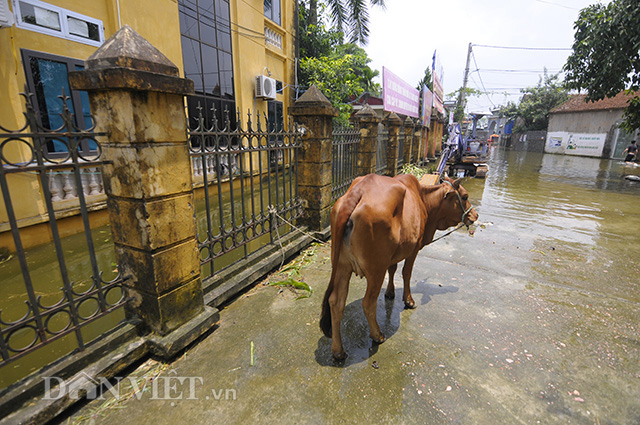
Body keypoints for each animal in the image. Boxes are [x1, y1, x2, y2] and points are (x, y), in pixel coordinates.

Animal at [320, 171, 476, 358]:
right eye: (465, 196)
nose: (475, 216)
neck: (423, 199)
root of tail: (356, 192)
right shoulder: (415, 247)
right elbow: (406, 273)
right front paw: (408, 300)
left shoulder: (393, 254)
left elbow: (393, 269)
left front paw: (390, 292)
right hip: (375, 270)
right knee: (368, 302)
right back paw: (377, 335)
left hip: (342, 266)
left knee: (336, 302)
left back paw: (338, 351)